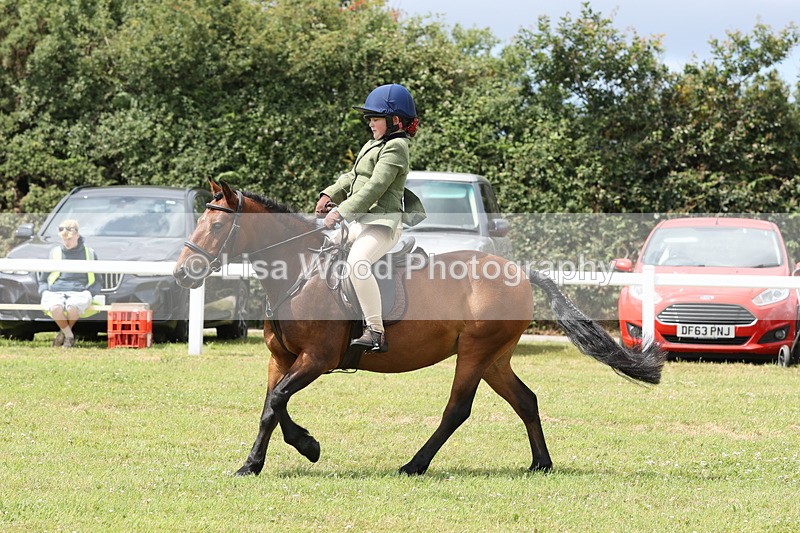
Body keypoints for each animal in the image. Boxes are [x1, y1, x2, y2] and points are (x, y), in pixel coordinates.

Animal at [173, 180, 665, 475]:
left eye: (215, 224)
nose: (182, 275)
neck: (300, 272)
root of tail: (519, 271)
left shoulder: (317, 358)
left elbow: (276, 403)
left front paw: (297, 450)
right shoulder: (282, 358)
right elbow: (271, 405)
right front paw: (265, 460)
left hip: (475, 353)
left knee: (457, 409)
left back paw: (414, 464)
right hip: (494, 357)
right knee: (525, 400)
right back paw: (540, 463)